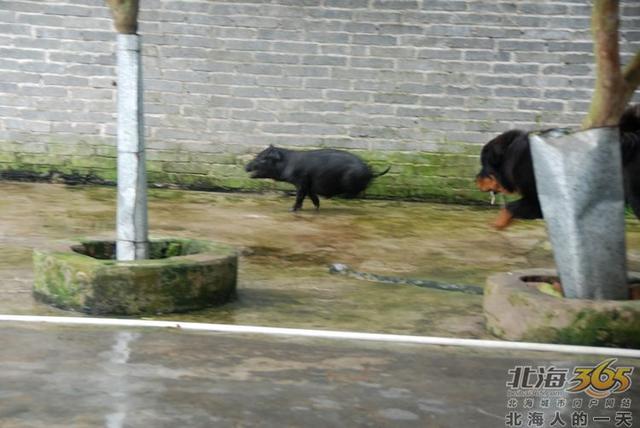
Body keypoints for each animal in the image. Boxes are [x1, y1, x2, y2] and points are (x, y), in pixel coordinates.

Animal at [245, 145, 390, 211]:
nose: (246, 166)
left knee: (358, 192)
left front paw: (291, 210)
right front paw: (316, 207)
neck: (288, 164)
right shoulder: (308, 185)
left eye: (262, 158)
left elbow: (300, 196)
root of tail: (370, 171)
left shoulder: (301, 181)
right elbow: (312, 196)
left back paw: (340, 197)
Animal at [476, 105, 640, 229]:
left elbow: (509, 207)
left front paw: (497, 223)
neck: (514, 157)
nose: (475, 180)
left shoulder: (539, 199)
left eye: (484, 165)